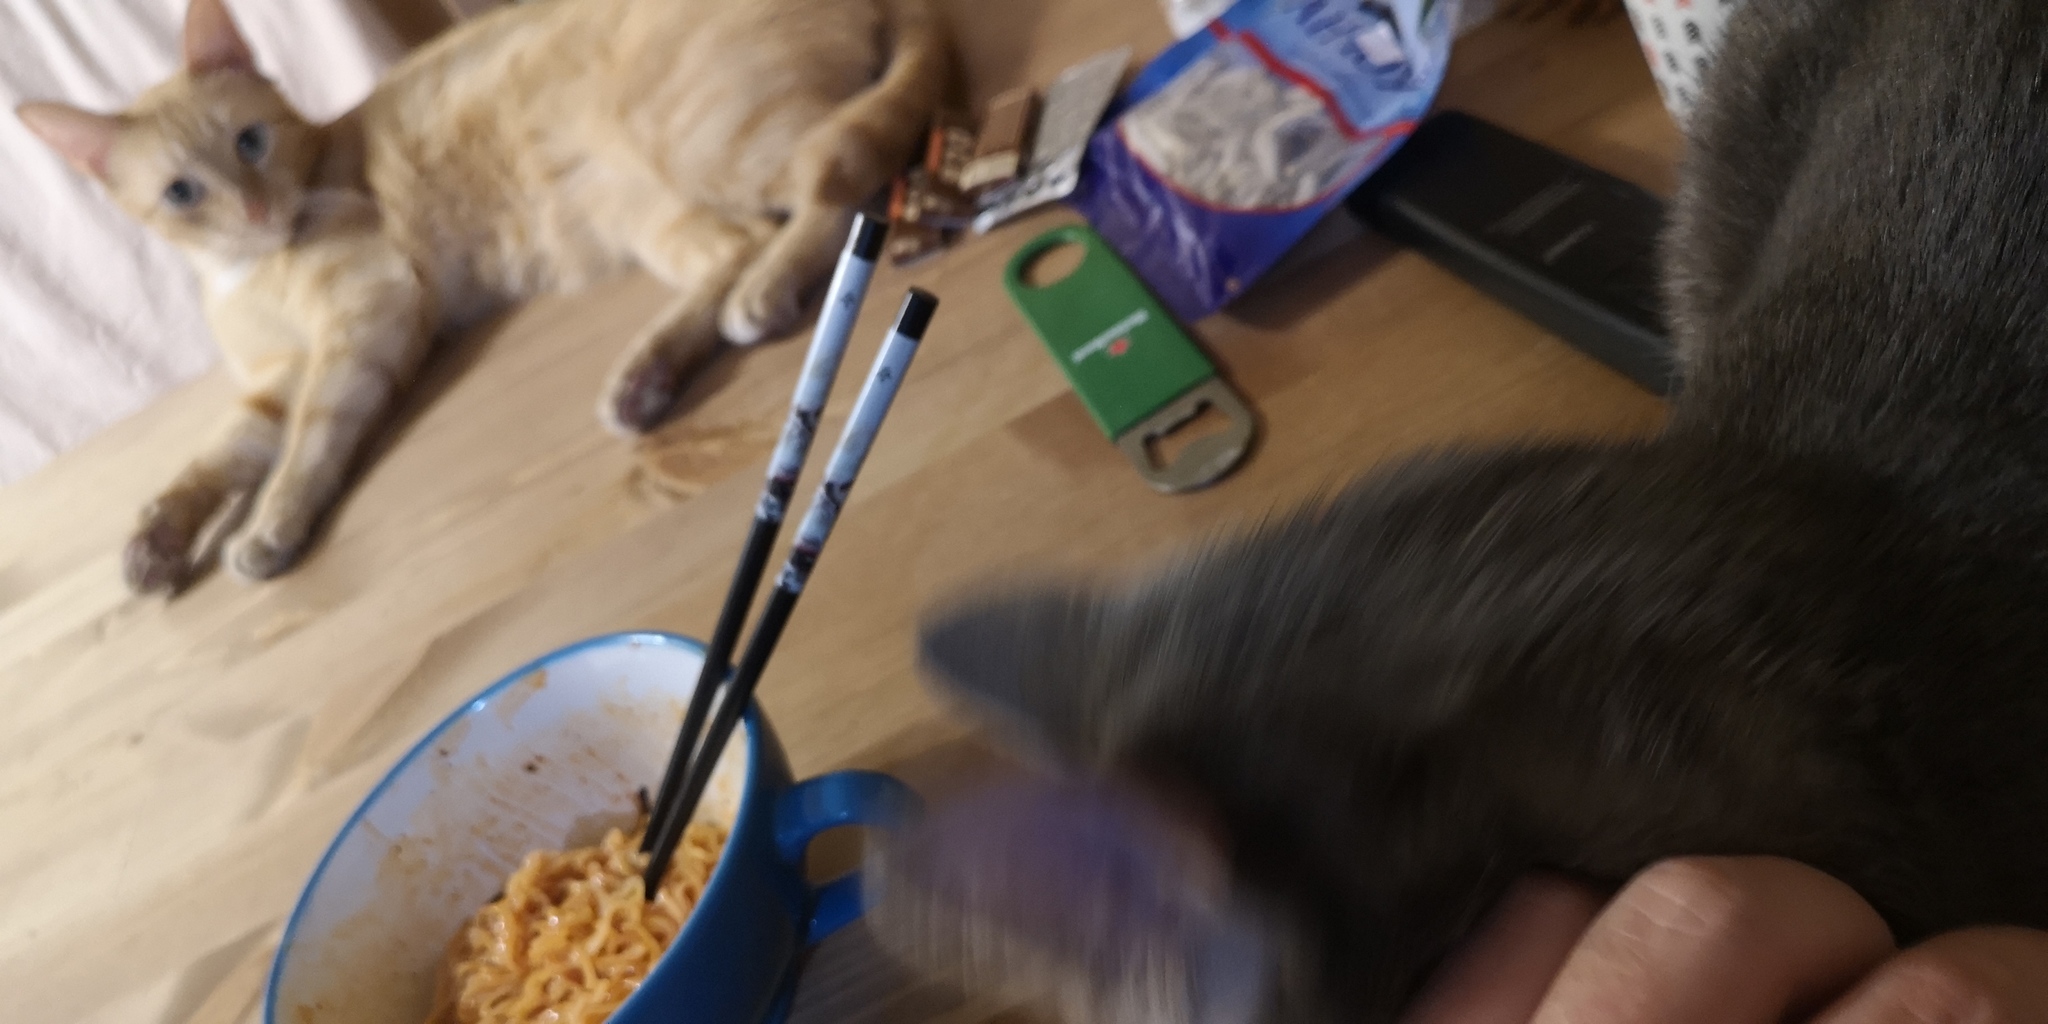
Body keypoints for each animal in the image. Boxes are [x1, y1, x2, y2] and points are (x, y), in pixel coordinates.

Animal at [15, 0, 948, 592]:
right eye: (182, 193)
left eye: (251, 142)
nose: (253, 209)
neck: (254, 271)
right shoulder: (274, 378)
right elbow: (217, 455)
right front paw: (158, 539)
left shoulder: (369, 314)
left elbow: (312, 435)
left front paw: (270, 525)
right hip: (640, 207)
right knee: (738, 244)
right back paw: (645, 375)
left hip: (712, 145)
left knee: (851, 197)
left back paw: (767, 291)